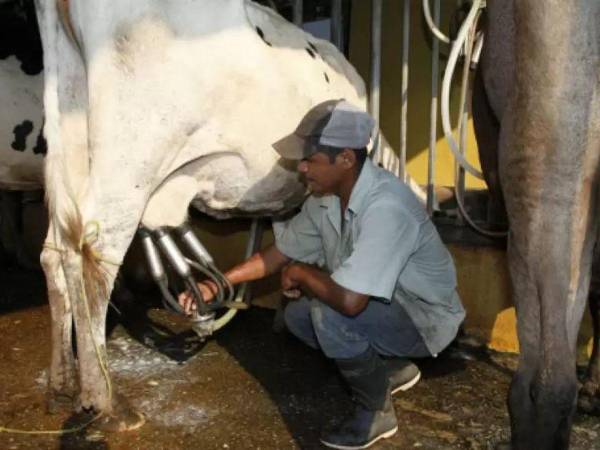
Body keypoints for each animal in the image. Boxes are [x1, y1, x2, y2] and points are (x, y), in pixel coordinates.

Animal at [35, 0, 424, 428]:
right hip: (131, 156)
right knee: (96, 256)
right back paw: (105, 400)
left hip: (69, 138)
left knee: (57, 253)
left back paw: (61, 384)